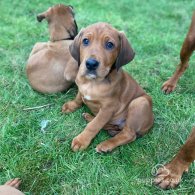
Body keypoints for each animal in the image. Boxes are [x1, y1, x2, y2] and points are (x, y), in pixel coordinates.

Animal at [61, 21, 153, 152]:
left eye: (110, 44)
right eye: (85, 41)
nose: (91, 64)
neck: (92, 83)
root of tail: (151, 123)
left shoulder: (108, 108)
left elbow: (94, 125)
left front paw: (81, 140)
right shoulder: (81, 88)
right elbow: (79, 98)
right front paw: (71, 106)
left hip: (139, 102)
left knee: (129, 134)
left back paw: (106, 145)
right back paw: (89, 117)